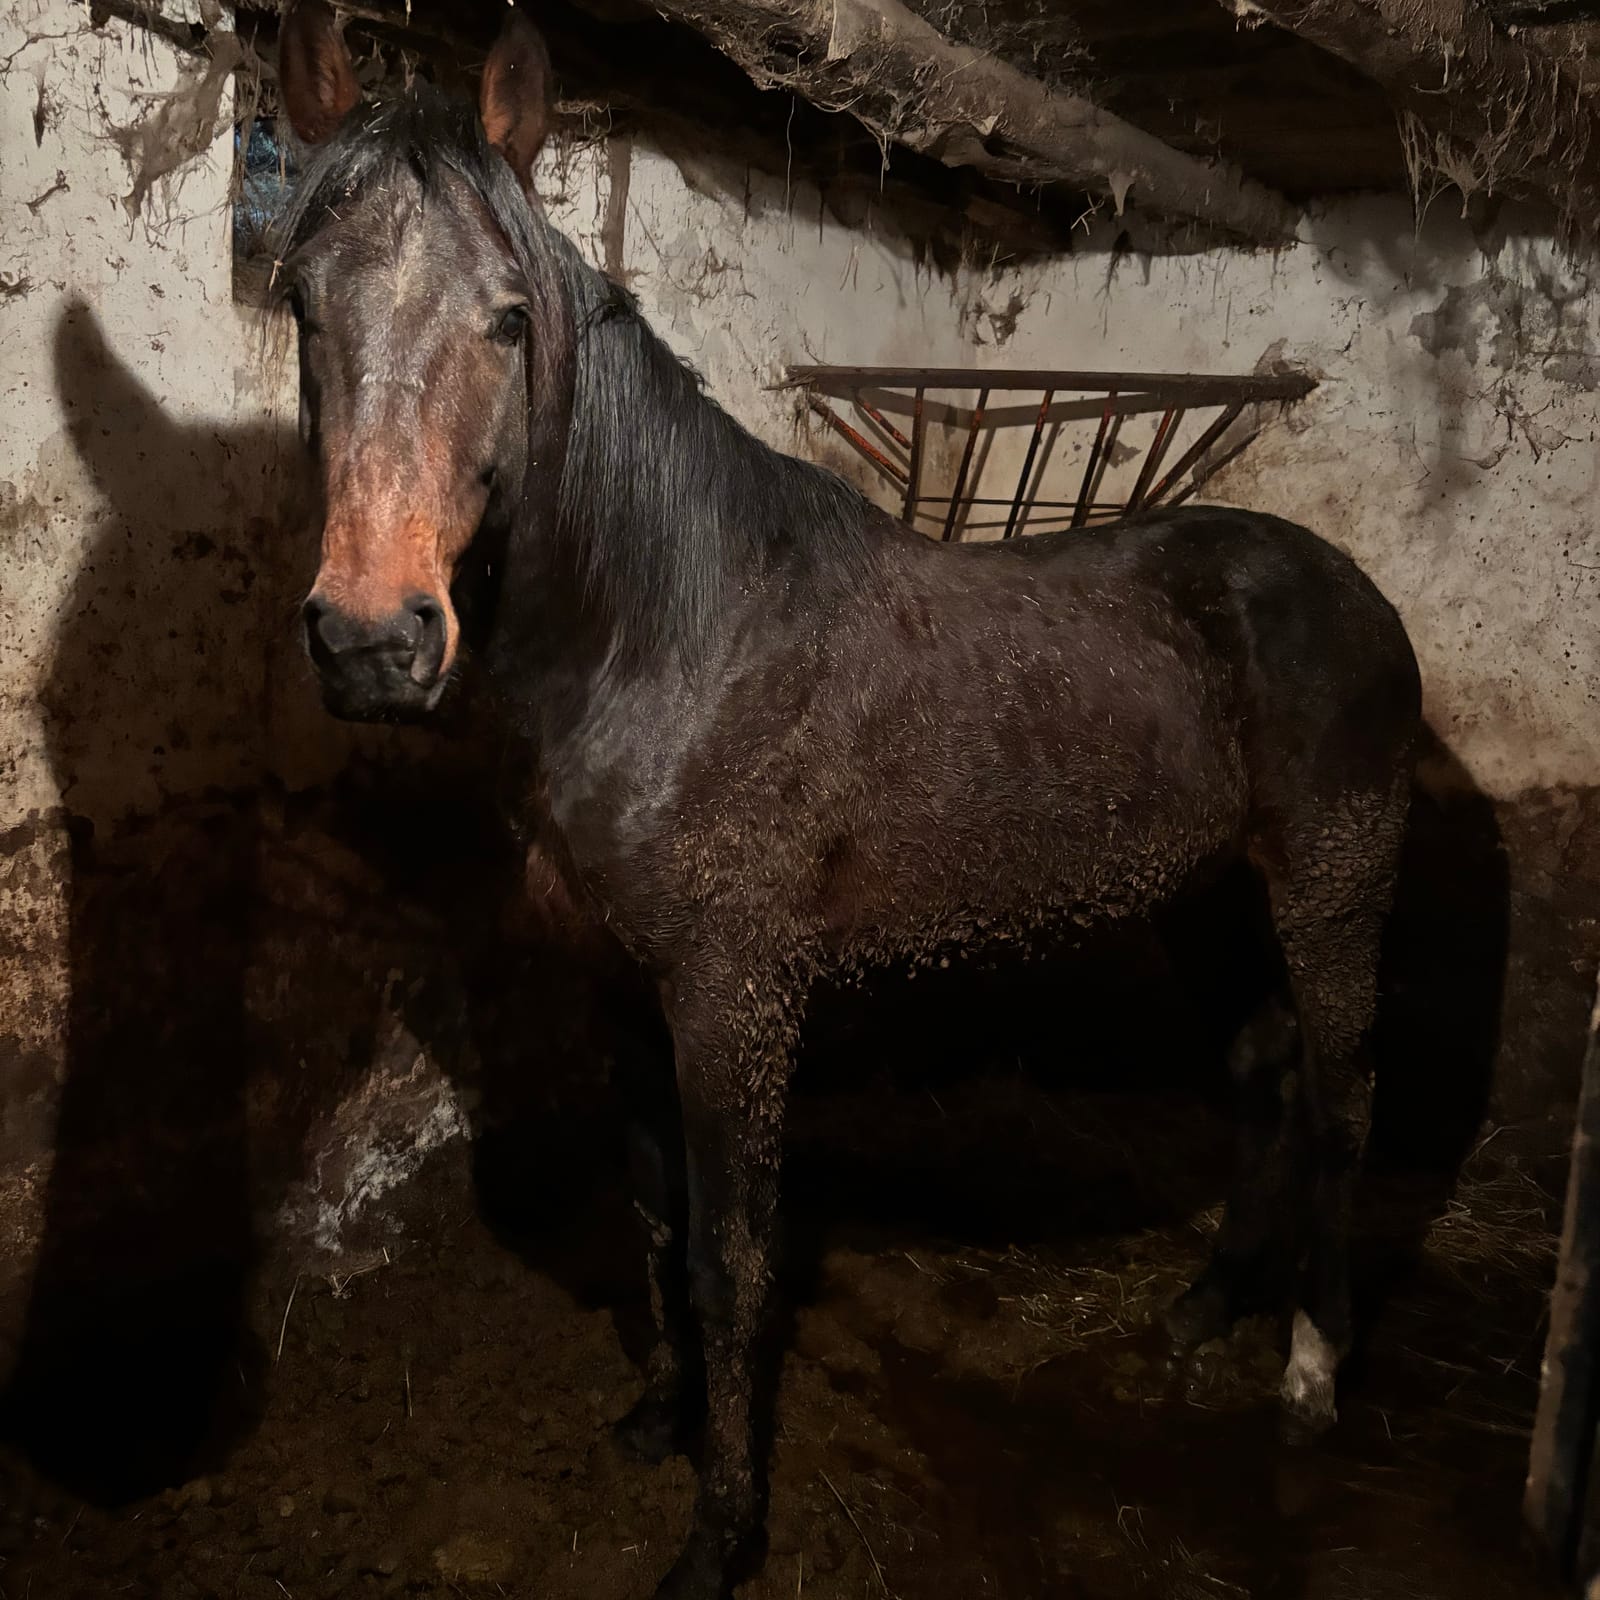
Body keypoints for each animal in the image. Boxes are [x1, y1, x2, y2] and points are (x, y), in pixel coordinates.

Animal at [272, 5, 1422, 1594]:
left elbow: (731, 1251)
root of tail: (1350, 594)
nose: (376, 641)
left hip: (1330, 882)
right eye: (300, 307)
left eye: (508, 319)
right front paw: (660, 1420)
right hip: (1207, 901)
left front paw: (720, 1533)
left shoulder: (735, 999)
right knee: (1265, 1079)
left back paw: (1312, 1369)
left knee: (1345, 1094)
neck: (667, 635)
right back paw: (1198, 1316)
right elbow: (652, 1209)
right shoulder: (625, 987)